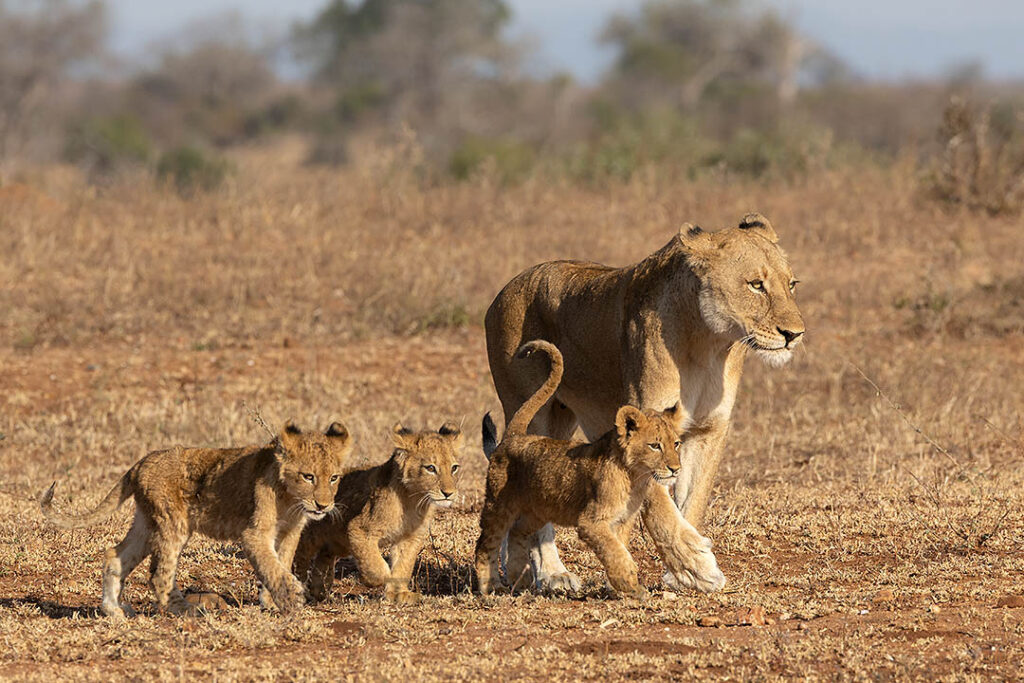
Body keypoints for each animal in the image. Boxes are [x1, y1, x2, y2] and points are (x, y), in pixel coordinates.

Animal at [39, 421, 352, 618]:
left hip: (146, 523)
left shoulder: (289, 532)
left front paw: (271, 603)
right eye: (308, 476)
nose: (323, 505)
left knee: (115, 556)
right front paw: (291, 599)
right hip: (173, 523)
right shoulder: (254, 533)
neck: (290, 500)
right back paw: (187, 611)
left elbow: (279, 564)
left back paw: (114, 611)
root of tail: (140, 463)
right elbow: (272, 567)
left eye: (334, 478)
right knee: (159, 575)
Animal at [291, 423, 462, 605]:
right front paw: (379, 579)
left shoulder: (409, 537)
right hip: (312, 536)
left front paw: (399, 594)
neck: (414, 500)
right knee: (300, 556)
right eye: (430, 468)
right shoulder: (359, 528)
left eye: (454, 468)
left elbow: (404, 565)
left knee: (324, 556)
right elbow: (374, 562)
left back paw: (320, 591)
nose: (449, 493)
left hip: (338, 542)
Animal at [475, 340, 725, 598]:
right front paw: (632, 587)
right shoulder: (591, 521)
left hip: (538, 511)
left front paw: (619, 589)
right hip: (500, 504)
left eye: (676, 444)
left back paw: (520, 580)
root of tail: (514, 436)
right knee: (486, 544)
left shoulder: (621, 520)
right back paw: (490, 586)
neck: (636, 477)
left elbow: (619, 548)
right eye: (655, 445)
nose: (675, 469)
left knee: (517, 532)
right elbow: (616, 552)